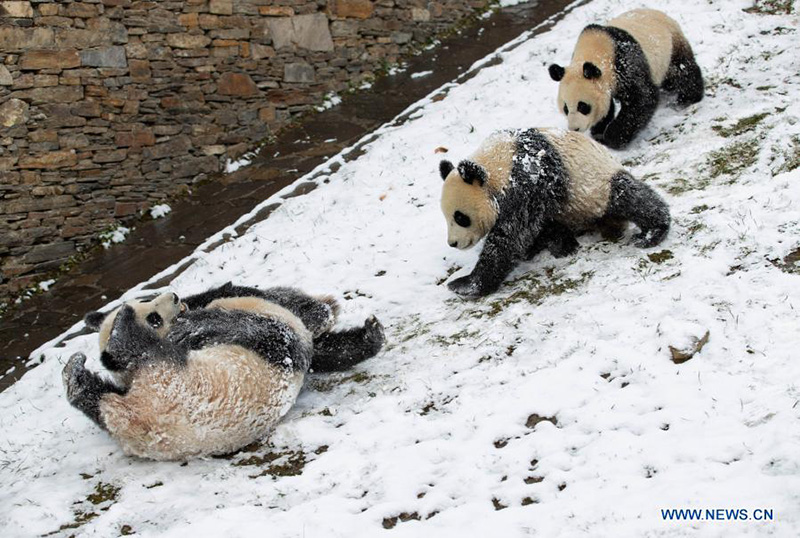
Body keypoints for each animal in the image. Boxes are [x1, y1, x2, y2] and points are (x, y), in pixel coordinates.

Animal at [62, 282, 384, 458]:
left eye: (146, 298)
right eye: (154, 317)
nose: (174, 297)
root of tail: (131, 414)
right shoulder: (277, 346)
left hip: (118, 403)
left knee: (95, 398)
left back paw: (76, 376)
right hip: (170, 379)